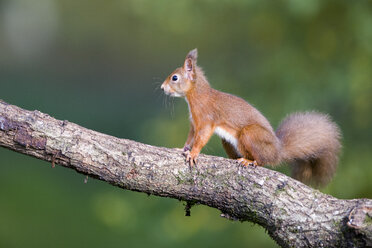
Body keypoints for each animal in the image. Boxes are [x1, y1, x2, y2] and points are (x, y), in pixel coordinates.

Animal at [161, 49, 342, 186]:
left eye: (175, 78)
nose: (162, 88)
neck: (196, 97)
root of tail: (277, 151)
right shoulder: (194, 123)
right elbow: (191, 137)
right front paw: (183, 148)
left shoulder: (206, 119)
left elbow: (200, 138)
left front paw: (193, 153)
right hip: (229, 141)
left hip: (250, 134)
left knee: (262, 161)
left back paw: (250, 161)